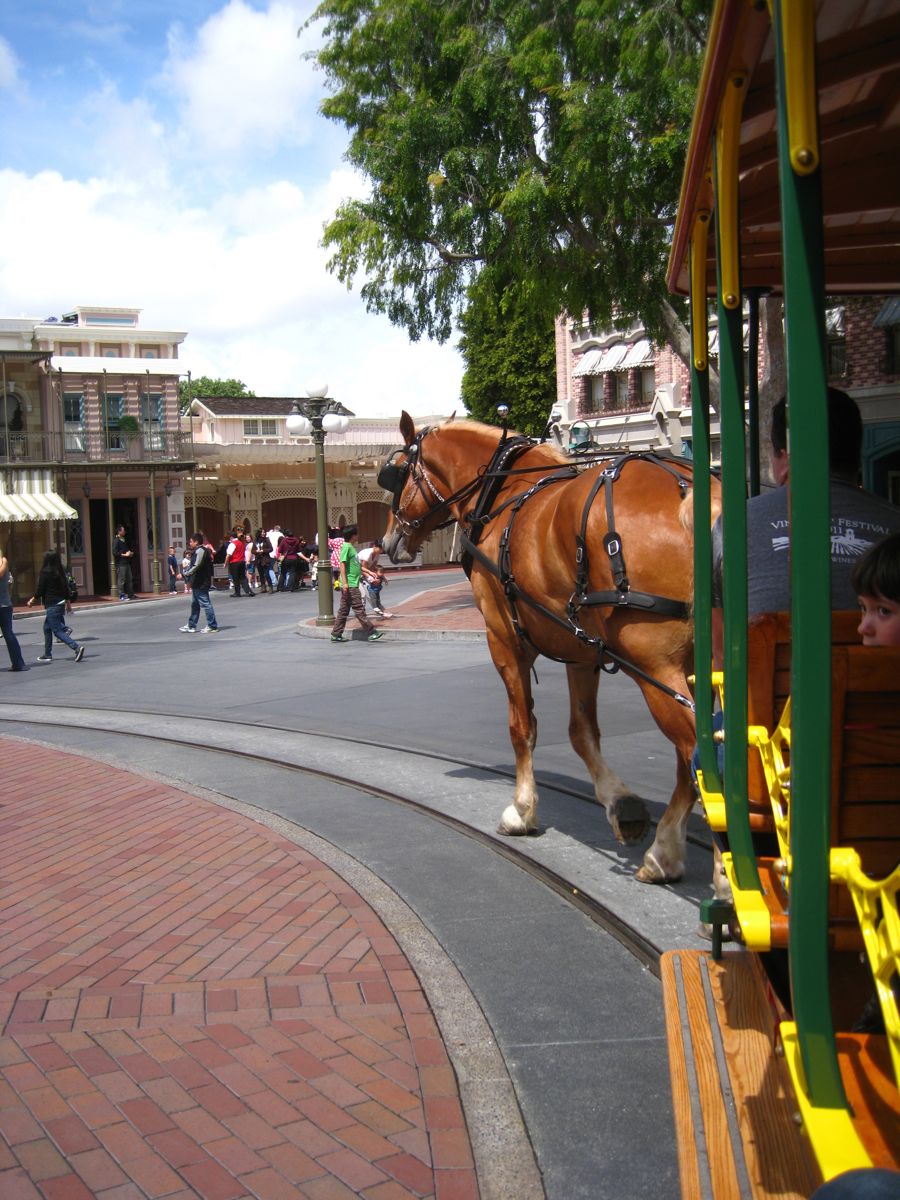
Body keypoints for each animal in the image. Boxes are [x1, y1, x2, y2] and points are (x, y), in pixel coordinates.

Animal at [384, 408, 724, 888]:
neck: (502, 495)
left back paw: (722, 878)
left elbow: (521, 726)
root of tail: (692, 490)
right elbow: (581, 732)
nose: (388, 543)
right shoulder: (581, 649)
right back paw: (667, 851)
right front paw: (621, 806)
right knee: (696, 756)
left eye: (396, 473)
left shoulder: (503, 639)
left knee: (706, 758)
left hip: (654, 666)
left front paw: (522, 811)